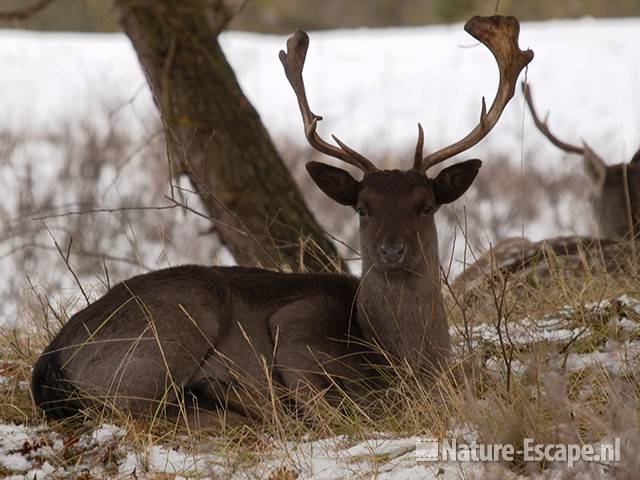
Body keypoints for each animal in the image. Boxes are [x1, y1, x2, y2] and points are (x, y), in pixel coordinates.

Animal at [32, 15, 532, 428]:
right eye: (363, 206)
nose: (391, 250)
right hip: (180, 319)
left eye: (425, 205)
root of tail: (51, 361)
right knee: (135, 408)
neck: (399, 354)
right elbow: (335, 407)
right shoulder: (296, 331)